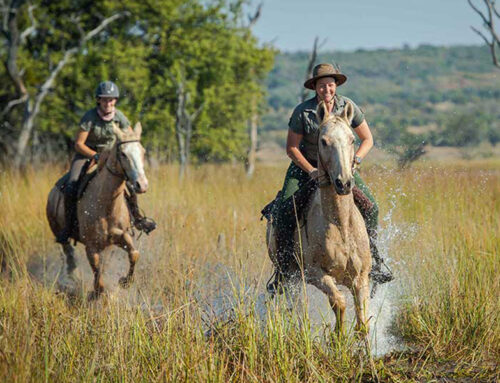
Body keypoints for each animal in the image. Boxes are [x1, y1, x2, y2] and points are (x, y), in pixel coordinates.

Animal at [46, 123, 148, 300]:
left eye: (142, 152)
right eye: (123, 153)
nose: (141, 184)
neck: (106, 204)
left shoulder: (120, 236)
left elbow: (134, 253)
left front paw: (124, 282)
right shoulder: (91, 246)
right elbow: (96, 271)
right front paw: (96, 292)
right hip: (59, 232)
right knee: (69, 253)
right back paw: (73, 277)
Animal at [270, 102, 372, 336]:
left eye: (352, 139)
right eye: (323, 141)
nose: (344, 183)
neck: (340, 225)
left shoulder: (361, 276)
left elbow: (363, 323)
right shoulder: (315, 274)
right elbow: (339, 301)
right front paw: (337, 337)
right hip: (291, 277)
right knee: (297, 306)